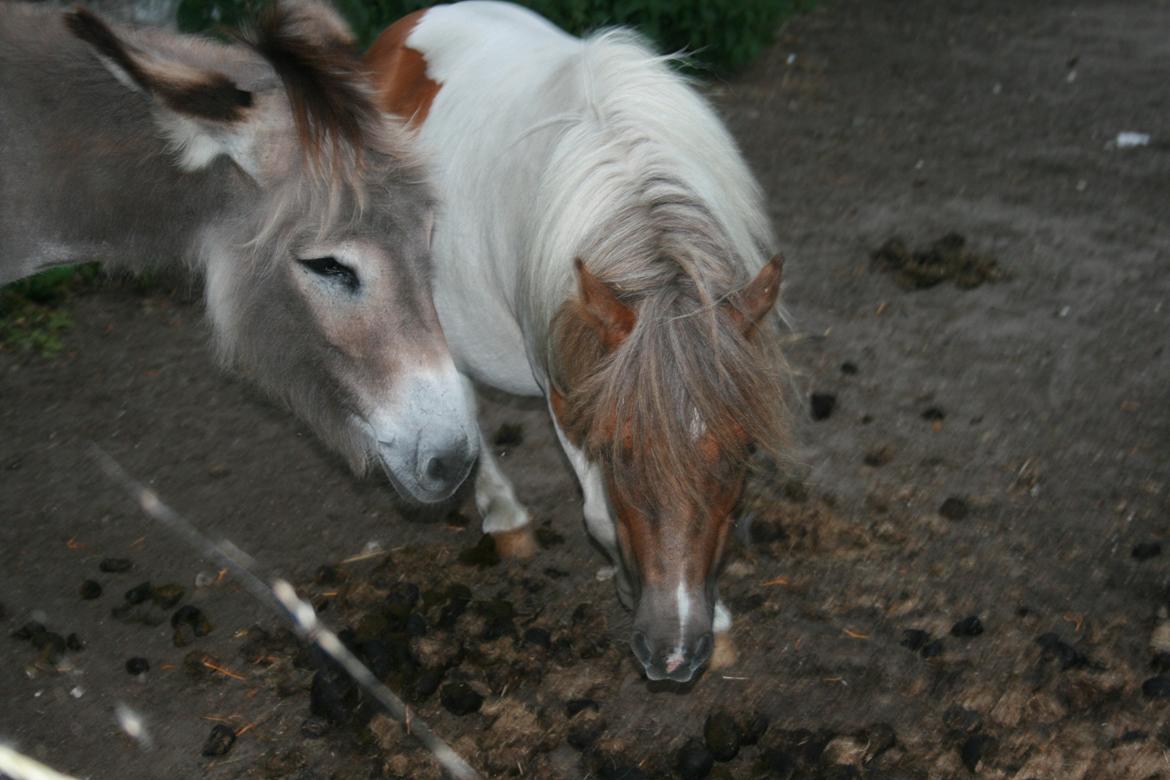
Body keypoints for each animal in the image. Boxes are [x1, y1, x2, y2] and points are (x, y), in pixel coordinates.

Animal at [365, 1, 786, 682]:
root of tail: (412, 25)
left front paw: (715, 618)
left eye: (742, 449)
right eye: (618, 450)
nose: (674, 652)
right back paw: (505, 517)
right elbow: (599, 515)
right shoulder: (565, 384)